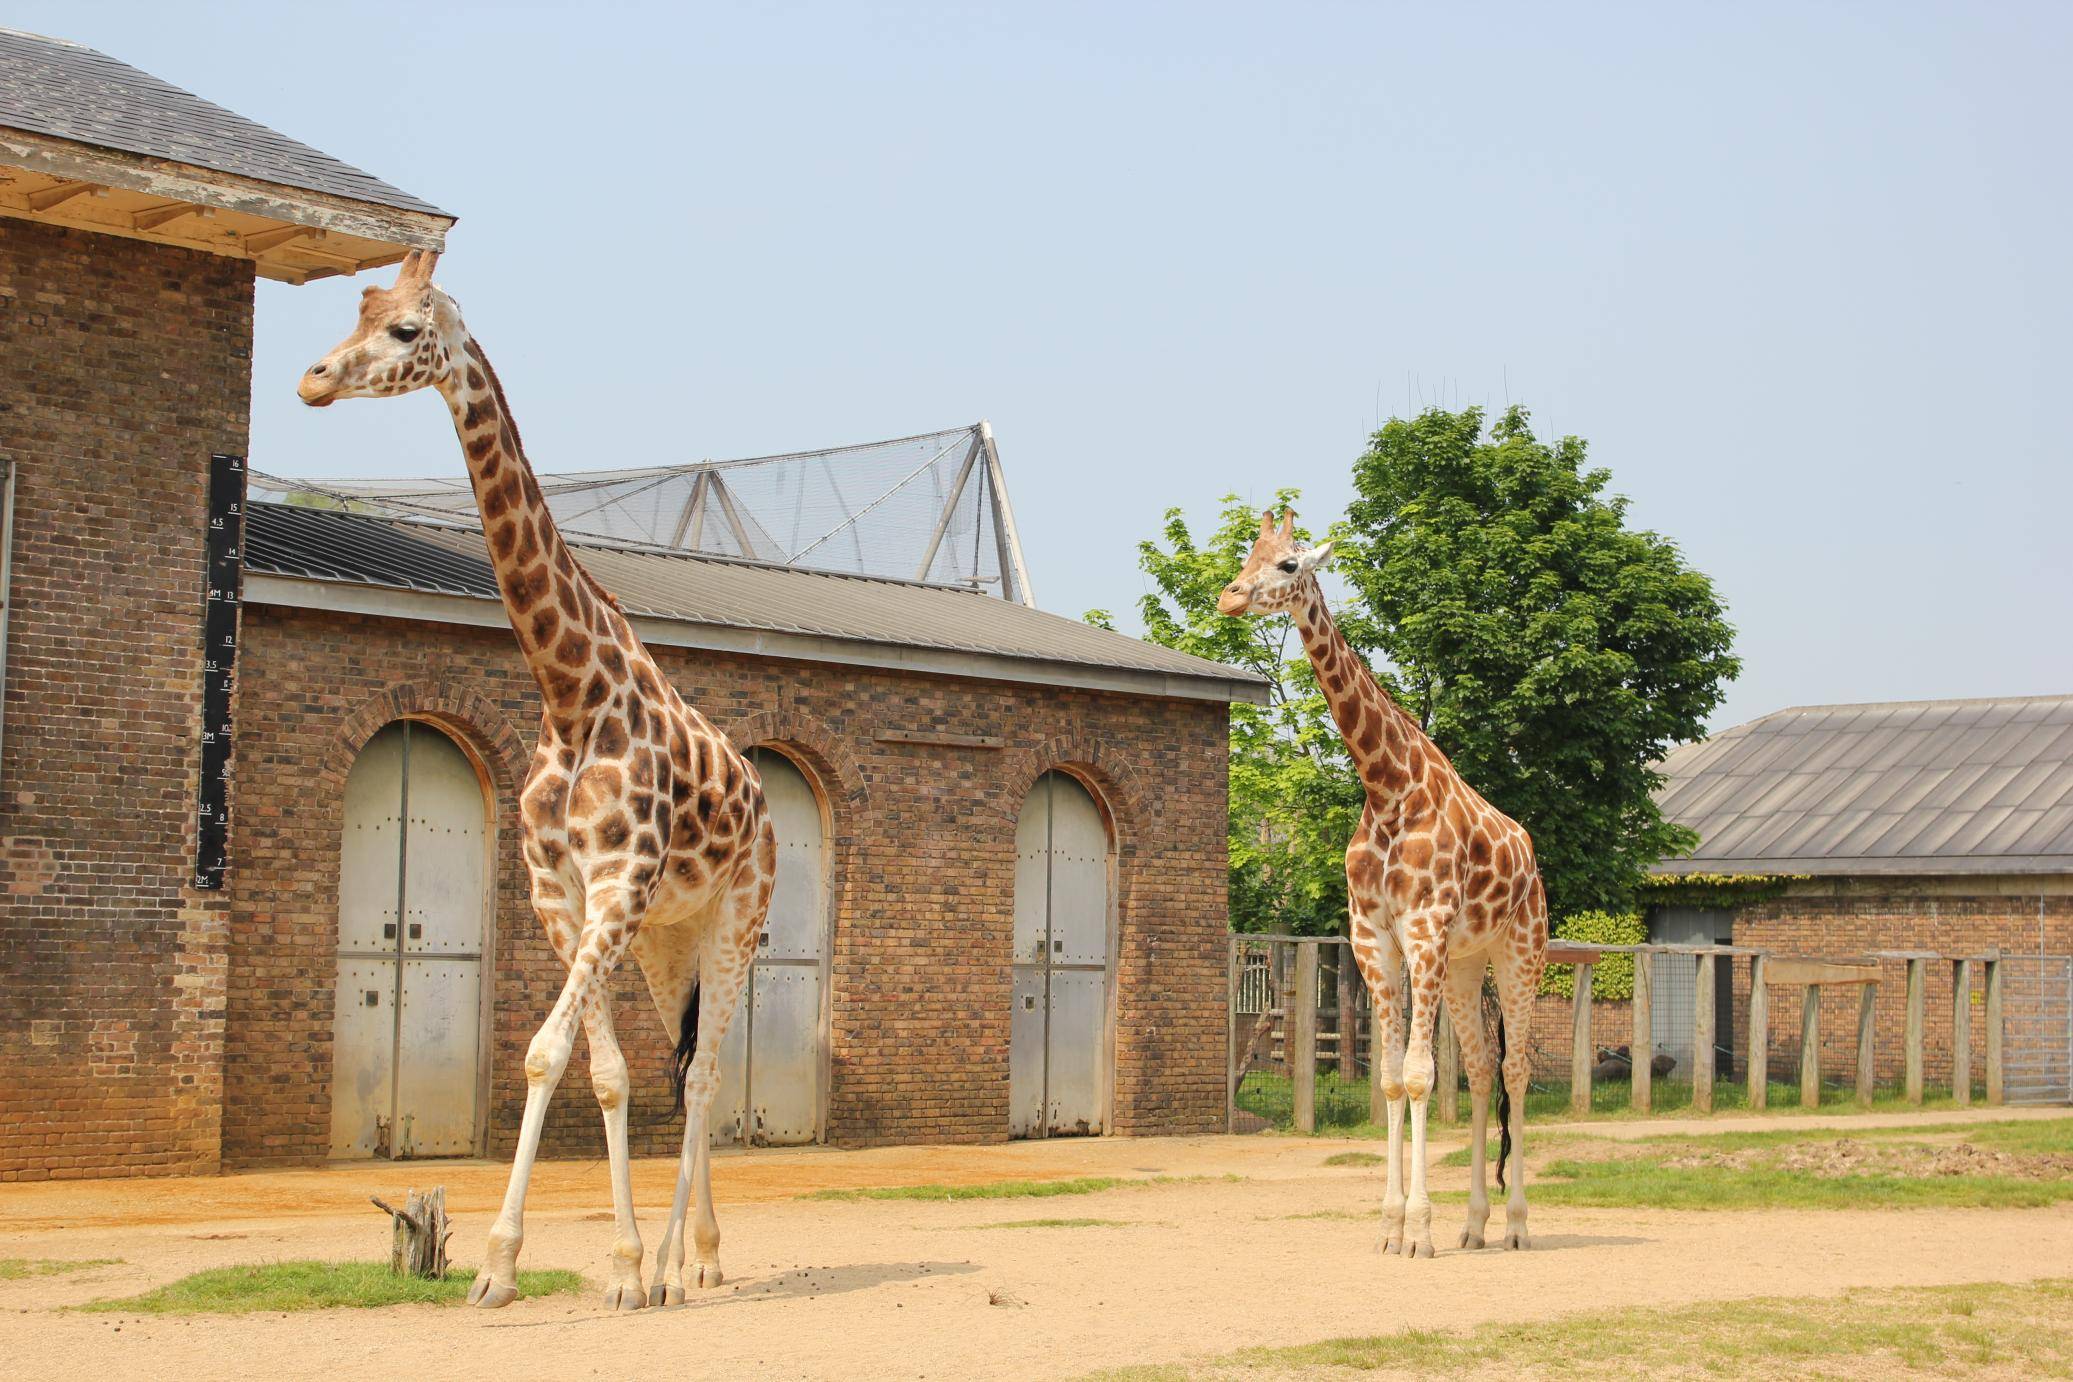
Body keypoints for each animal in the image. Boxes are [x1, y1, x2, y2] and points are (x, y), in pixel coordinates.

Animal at [296, 253, 775, 1317]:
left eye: (405, 329)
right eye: (357, 306)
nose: (311, 378)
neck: (569, 693)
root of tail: (764, 805)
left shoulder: (617, 888)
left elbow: (550, 1055)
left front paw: (579, 1267)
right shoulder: (561, 896)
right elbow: (600, 1070)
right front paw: (560, 1269)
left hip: (736, 920)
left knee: (710, 1076)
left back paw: (694, 1265)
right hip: (669, 942)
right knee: (685, 1066)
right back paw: (691, 1263)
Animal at [1218, 513, 1550, 1259]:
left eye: (1287, 565)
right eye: (1246, 556)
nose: (1228, 597)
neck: (1387, 785)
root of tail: (1531, 855)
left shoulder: (1422, 931)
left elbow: (1421, 1075)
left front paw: (1419, 1231)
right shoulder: (1375, 939)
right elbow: (1394, 1079)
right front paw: (1391, 1226)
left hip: (1520, 952)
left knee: (1515, 1070)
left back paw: (1516, 1225)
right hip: (1466, 964)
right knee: (1481, 1068)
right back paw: (1474, 1224)